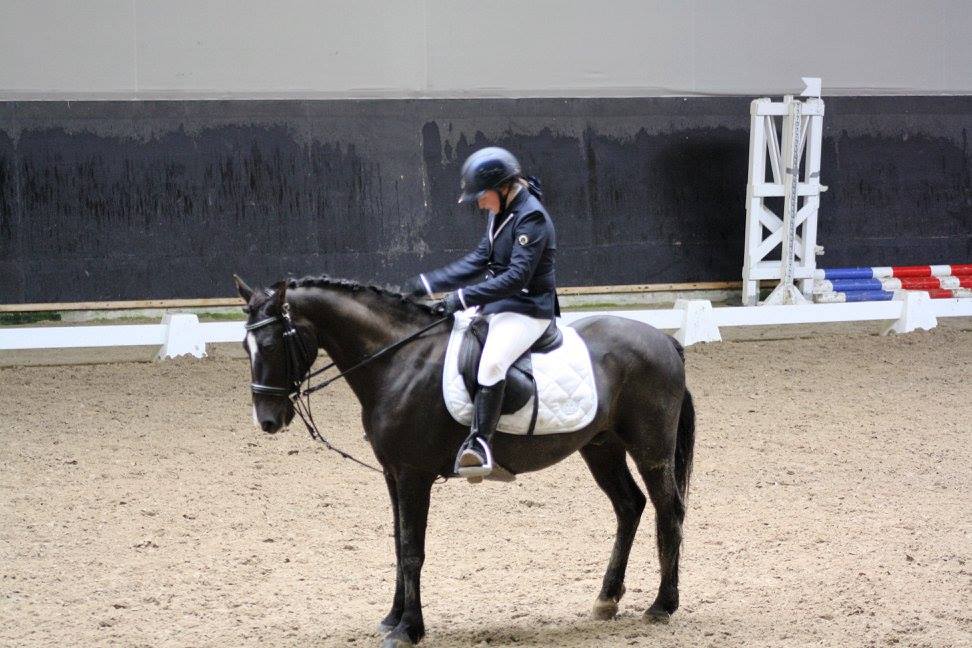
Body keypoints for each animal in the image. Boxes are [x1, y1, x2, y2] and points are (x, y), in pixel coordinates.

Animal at [235, 274, 696, 648]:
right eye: (245, 345)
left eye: (272, 343)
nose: (268, 421)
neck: (398, 360)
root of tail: (665, 341)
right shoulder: (392, 474)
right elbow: (398, 543)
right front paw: (392, 618)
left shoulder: (413, 475)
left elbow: (412, 549)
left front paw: (409, 629)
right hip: (601, 446)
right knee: (629, 506)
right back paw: (606, 599)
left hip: (651, 448)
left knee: (668, 509)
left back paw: (662, 605)